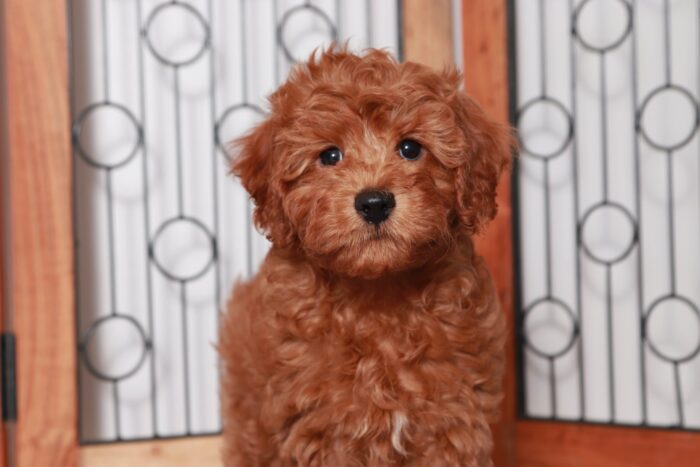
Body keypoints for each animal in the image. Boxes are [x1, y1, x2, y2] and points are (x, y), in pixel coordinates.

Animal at [221, 48, 512, 467]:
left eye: (410, 148)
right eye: (330, 156)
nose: (374, 202)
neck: (379, 297)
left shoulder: (451, 419)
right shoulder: (323, 428)